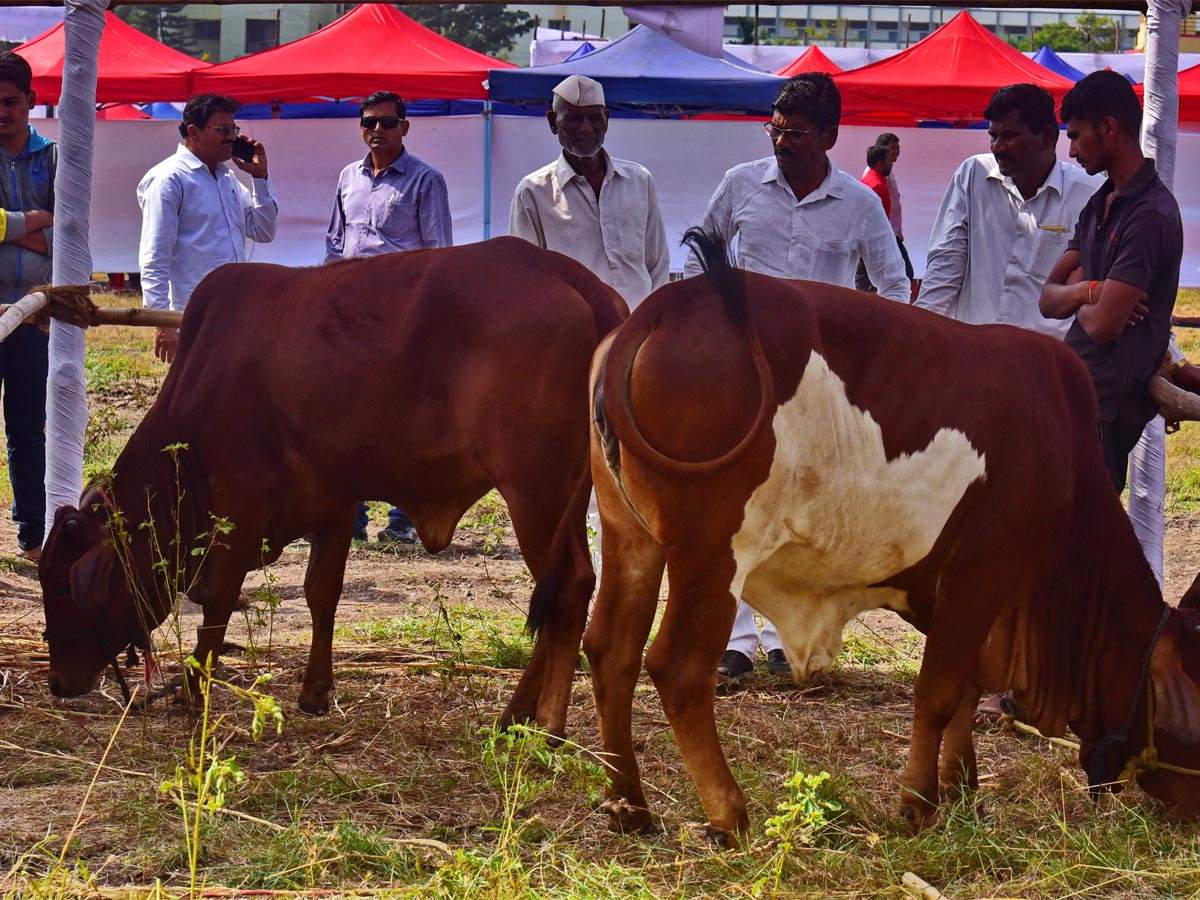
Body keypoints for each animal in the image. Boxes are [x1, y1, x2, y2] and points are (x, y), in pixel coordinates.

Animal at [37, 240, 624, 739]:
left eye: (63, 584)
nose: (58, 682)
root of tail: (566, 273)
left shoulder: (241, 502)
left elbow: (219, 597)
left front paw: (191, 688)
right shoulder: (335, 503)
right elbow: (322, 592)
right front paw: (315, 691)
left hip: (535, 493)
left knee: (568, 588)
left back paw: (547, 722)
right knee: (567, 590)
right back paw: (515, 713)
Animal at [566, 229, 1200, 844]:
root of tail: (670, 304)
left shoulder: (958, 594)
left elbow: (966, 686)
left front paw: (962, 785)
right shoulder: (981, 574)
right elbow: (939, 692)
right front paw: (918, 804)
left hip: (632, 539)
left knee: (611, 651)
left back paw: (629, 805)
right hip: (713, 557)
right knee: (677, 668)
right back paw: (728, 813)